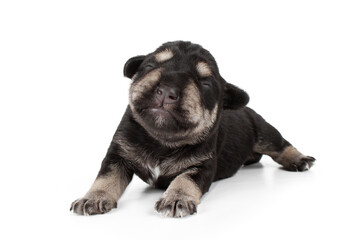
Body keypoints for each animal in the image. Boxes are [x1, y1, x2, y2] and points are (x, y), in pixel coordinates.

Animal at [70, 40, 316, 218]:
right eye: (149, 67)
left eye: (205, 83)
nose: (167, 91)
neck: (161, 140)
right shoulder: (118, 155)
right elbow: (106, 177)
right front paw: (93, 197)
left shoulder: (201, 166)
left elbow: (185, 179)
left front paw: (176, 198)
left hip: (263, 131)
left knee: (281, 145)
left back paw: (299, 159)